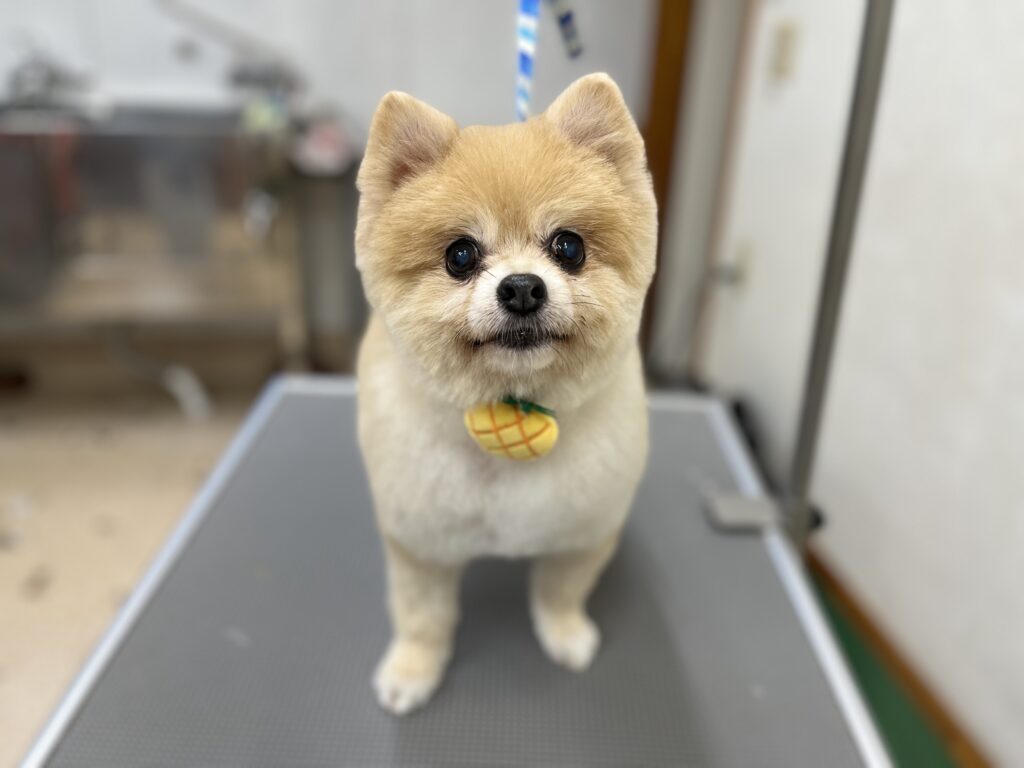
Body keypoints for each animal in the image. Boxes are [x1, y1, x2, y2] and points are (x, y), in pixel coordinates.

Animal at [354, 73, 657, 714]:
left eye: (569, 247)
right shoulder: (420, 542)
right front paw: (413, 670)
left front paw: (565, 635)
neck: (511, 422)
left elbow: (560, 593)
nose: (521, 287)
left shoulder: (582, 535)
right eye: (461, 255)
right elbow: (423, 618)